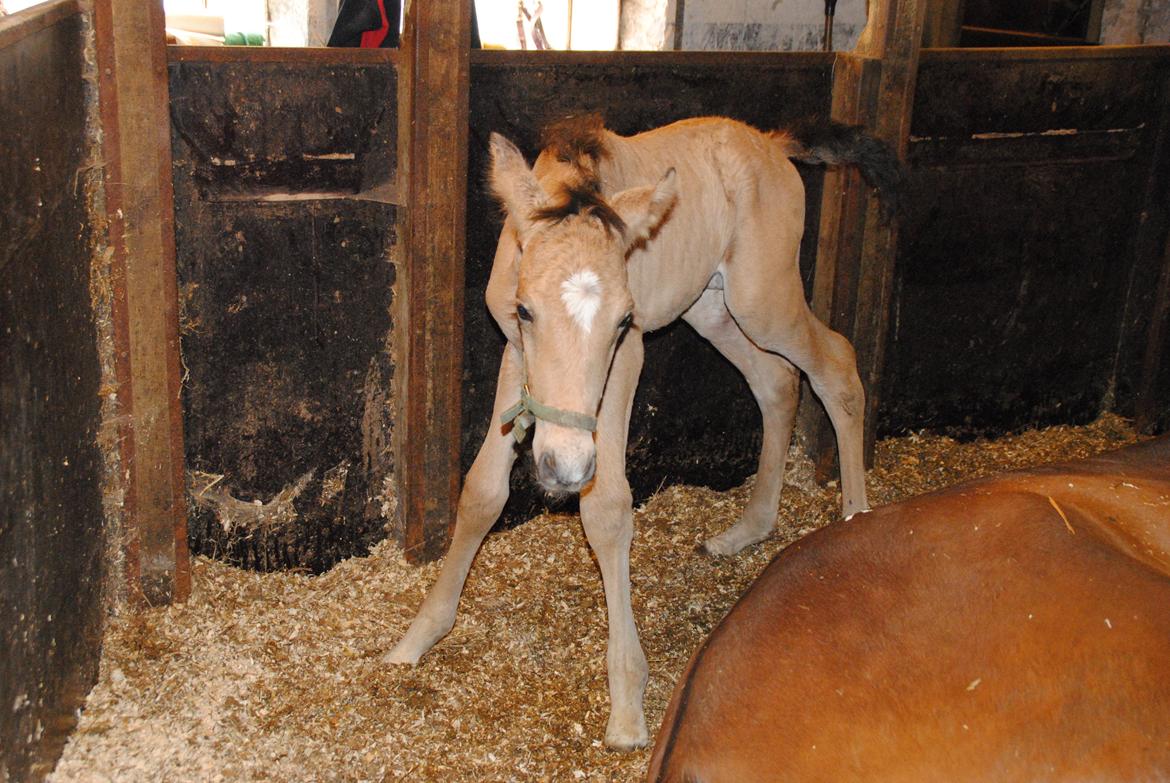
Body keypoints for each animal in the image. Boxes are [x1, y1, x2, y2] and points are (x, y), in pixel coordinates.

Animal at [388, 114, 898, 744]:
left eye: (623, 319)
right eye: (525, 310)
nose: (564, 466)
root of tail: (772, 144)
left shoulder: (627, 356)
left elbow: (606, 508)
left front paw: (627, 702)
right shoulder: (515, 352)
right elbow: (483, 489)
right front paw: (416, 638)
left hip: (763, 298)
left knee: (836, 365)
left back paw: (855, 519)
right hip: (713, 307)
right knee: (777, 383)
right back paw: (747, 529)